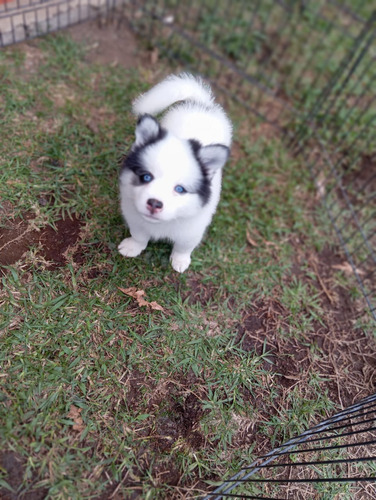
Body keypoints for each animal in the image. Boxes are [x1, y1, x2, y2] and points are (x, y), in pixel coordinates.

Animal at [119, 72, 232, 272]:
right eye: (146, 177)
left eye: (180, 189)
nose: (154, 203)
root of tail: (202, 104)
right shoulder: (135, 218)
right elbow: (139, 236)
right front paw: (133, 247)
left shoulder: (191, 231)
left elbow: (183, 247)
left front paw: (180, 261)